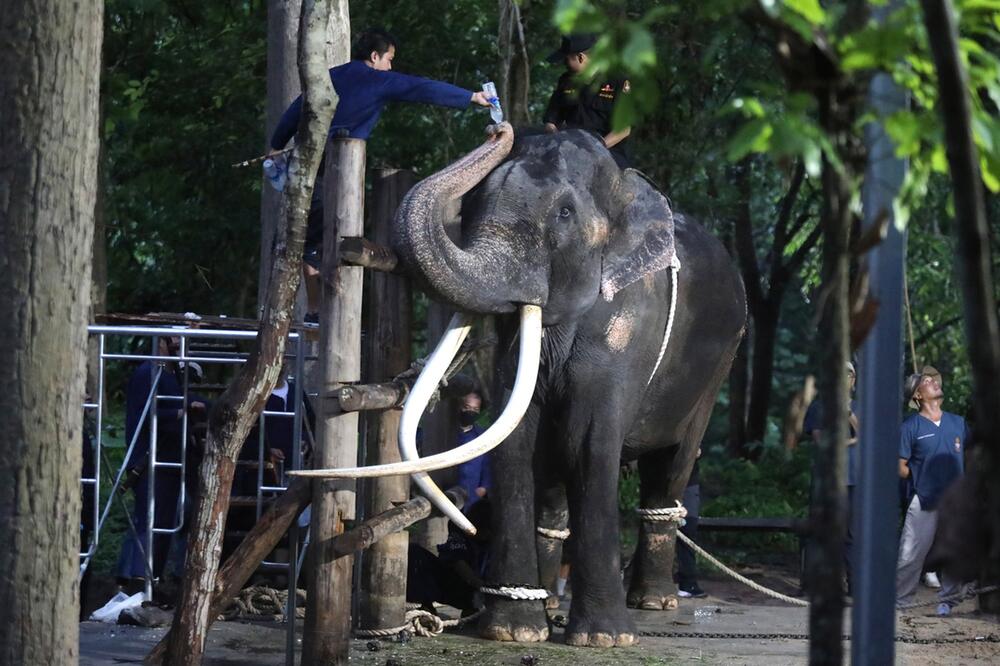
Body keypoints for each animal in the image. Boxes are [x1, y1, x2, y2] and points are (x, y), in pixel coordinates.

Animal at [300, 123, 748, 644]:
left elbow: (591, 442)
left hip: (719, 366)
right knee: (554, 478)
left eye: (564, 213)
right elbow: (516, 439)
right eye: (472, 208)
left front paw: (603, 638)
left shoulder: (630, 324)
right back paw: (551, 601)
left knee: (672, 466)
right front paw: (511, 632)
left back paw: (653, 602)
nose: (500, 126)